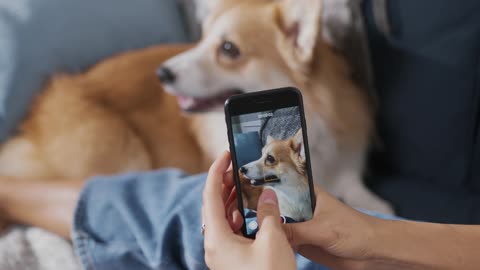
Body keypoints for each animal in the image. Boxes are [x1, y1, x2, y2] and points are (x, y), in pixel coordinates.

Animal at [0, 0, 394, 214]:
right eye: (202, 39)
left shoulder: (345, 169)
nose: (162, 73)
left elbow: (373, 200)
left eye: (229, 49)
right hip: (122, 152)